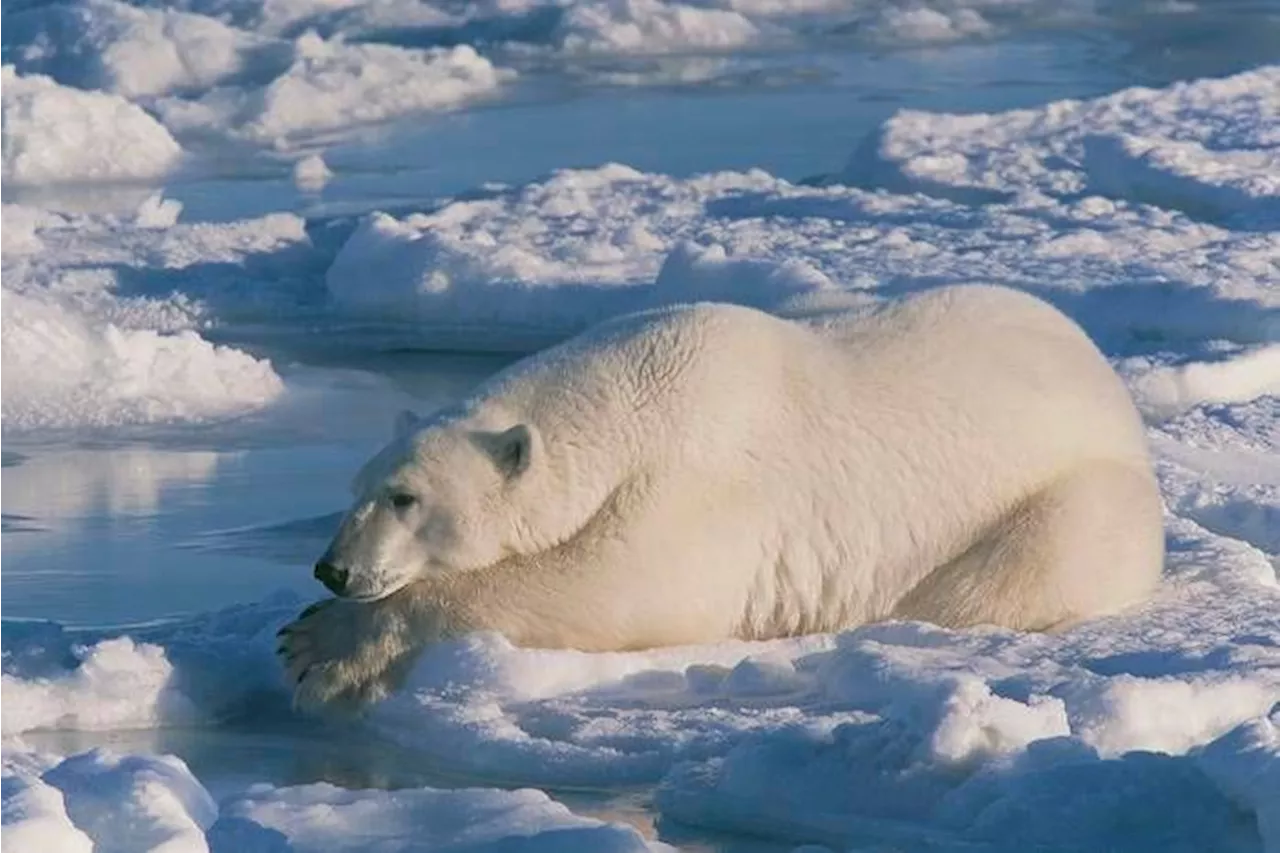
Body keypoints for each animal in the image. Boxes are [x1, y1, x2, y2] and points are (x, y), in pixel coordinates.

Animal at [277, 281, 1162, 706]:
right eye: (358, 487)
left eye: (405, 498)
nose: (332, 570)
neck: (631, 397)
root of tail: (1109, 382)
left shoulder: (704, 487)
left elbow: (615, 586)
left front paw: (316, 645)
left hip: (1072, 501)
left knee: (1007, 573)